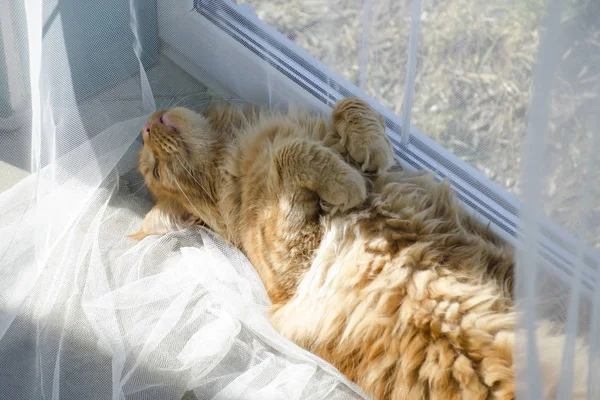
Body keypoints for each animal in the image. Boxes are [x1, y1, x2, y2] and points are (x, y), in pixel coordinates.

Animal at [131, 98, 584, 398]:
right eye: (156, 169)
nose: (147, 127)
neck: (238, 146)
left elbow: (350, 105)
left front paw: (370, 148)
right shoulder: (293, 265)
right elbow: (291, 154)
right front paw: (347, 182)